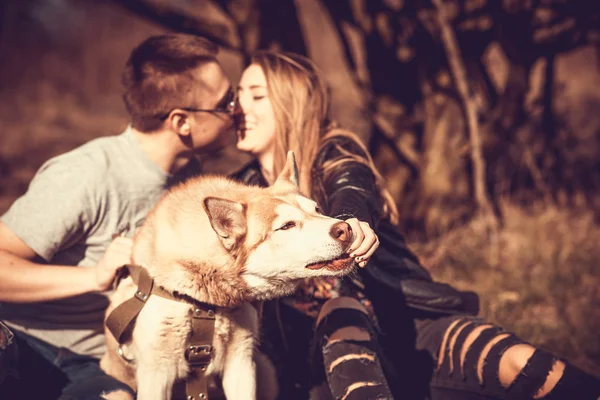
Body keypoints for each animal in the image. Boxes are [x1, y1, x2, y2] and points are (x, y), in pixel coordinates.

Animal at [99, 152, 356, 398]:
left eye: (317, 210)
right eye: (287, 226)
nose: (345, 229)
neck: (207, 300)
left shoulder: (241, 361)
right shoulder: (156, 372)